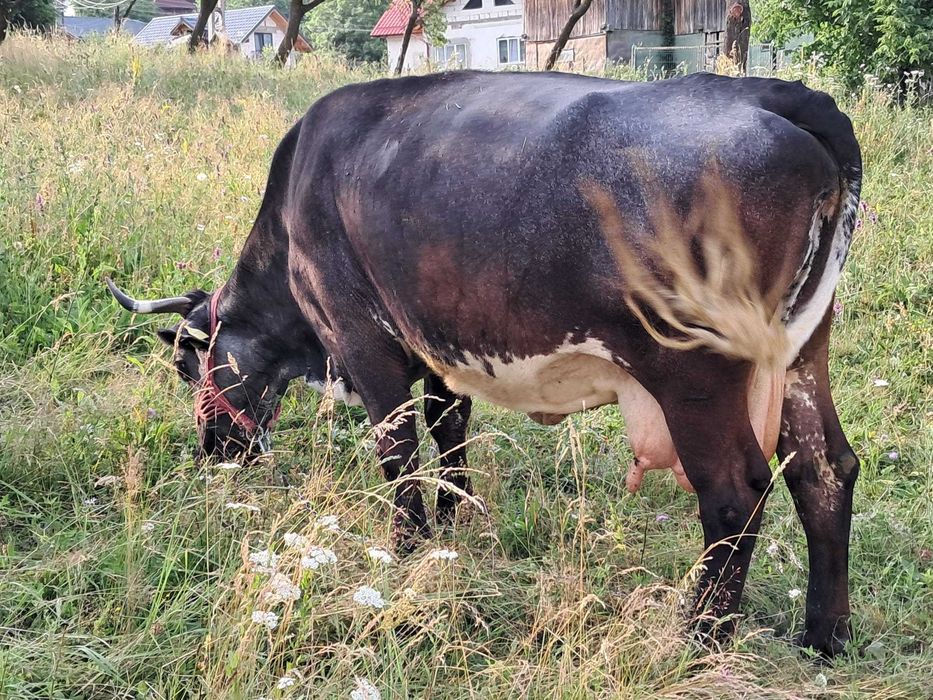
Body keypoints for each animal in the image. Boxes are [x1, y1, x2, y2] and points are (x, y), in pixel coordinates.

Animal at [106, 70, 862, 657]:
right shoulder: (442, 348)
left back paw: (698, 638)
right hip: (800, 353)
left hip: (693, 371)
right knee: (825, 469)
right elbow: (449, 432)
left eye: (186, 367)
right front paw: (453, 522)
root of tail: (774, 93)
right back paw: (823, 635)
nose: (212, 449)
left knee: (735, 491)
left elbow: (399, 452)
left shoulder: (363, 341)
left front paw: (407, 548)